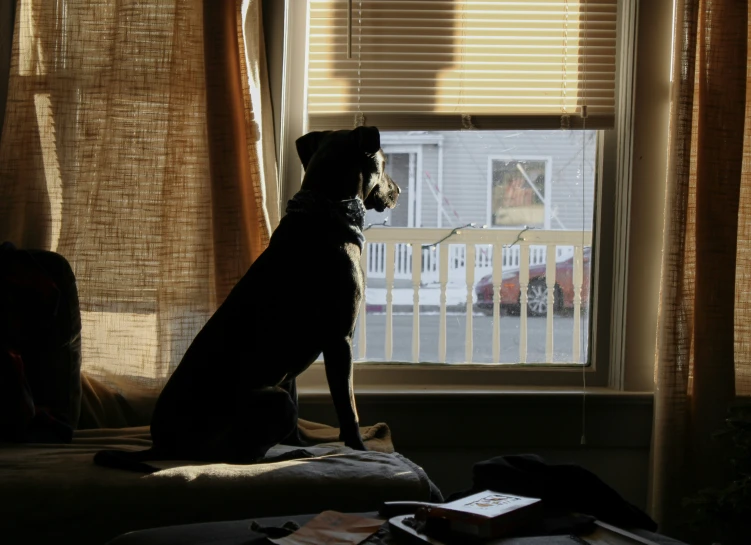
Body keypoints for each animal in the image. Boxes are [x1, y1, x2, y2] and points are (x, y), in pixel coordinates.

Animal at [95, 125, 400, 470]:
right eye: (384, 164)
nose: (398, 190)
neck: (326, 209)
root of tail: (163, 445)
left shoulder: (291, 368)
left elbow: (298, 411)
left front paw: (303, 441)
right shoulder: (339, 341)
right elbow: (348, 409)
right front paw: (359, 449)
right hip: (272, 400)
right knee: (239, 458)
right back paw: (288, 456)